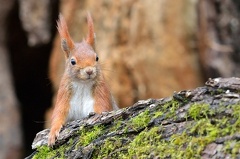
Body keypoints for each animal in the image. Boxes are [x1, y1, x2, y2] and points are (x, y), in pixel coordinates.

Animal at [48, 13, 118, 146]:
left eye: (97, 57)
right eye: (72, 61)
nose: (89, 71)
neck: (82, 84)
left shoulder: (101, 92)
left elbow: (102, 107)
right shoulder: (64, 96)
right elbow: (58, 114)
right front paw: (53, 133)